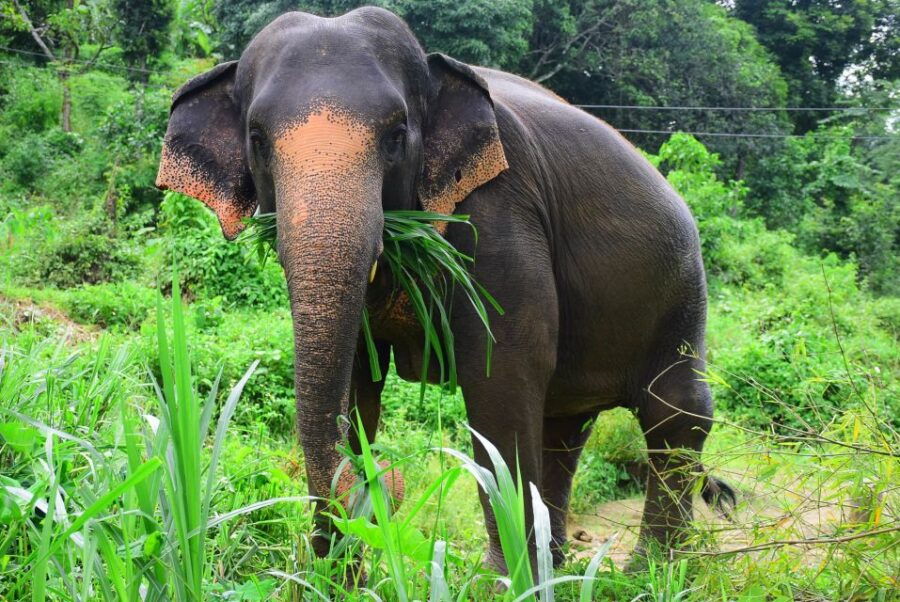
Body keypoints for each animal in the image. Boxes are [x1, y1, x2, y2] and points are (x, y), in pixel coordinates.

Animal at [156, 6, 734, 571]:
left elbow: (503, 370)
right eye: (257, 140)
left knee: (675, 413)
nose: (385, 480)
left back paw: (652, 571)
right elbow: (356, 380)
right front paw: (335, 574)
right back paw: (564, 565)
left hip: (683, 289)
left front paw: (505, 580)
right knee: (565, 429)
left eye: (396, 136)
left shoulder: (500, 212)